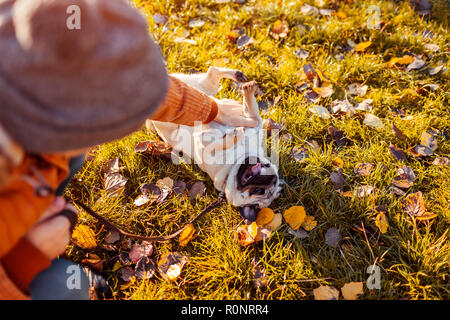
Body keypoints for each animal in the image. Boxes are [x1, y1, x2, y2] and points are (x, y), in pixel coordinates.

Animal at [148, 67, 282, 222]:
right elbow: (252, 111)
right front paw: (248, 93)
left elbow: (219, 142)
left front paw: (232, 134)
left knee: (212, 72)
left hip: (203, 88)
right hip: (205, 89)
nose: (268, 178)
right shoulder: (253, 124)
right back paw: (237, 76)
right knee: (213, 72)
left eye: (257, 190)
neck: (233, 164)